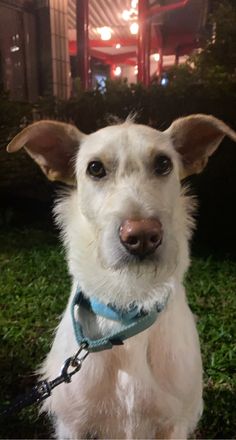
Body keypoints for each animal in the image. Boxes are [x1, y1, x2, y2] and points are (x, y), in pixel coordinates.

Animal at [7, 115, 236, 438]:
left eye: (163, 163)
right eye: (95, 168)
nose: (142, 237)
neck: (128, 303)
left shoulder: (174, 423)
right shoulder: (72, 424)